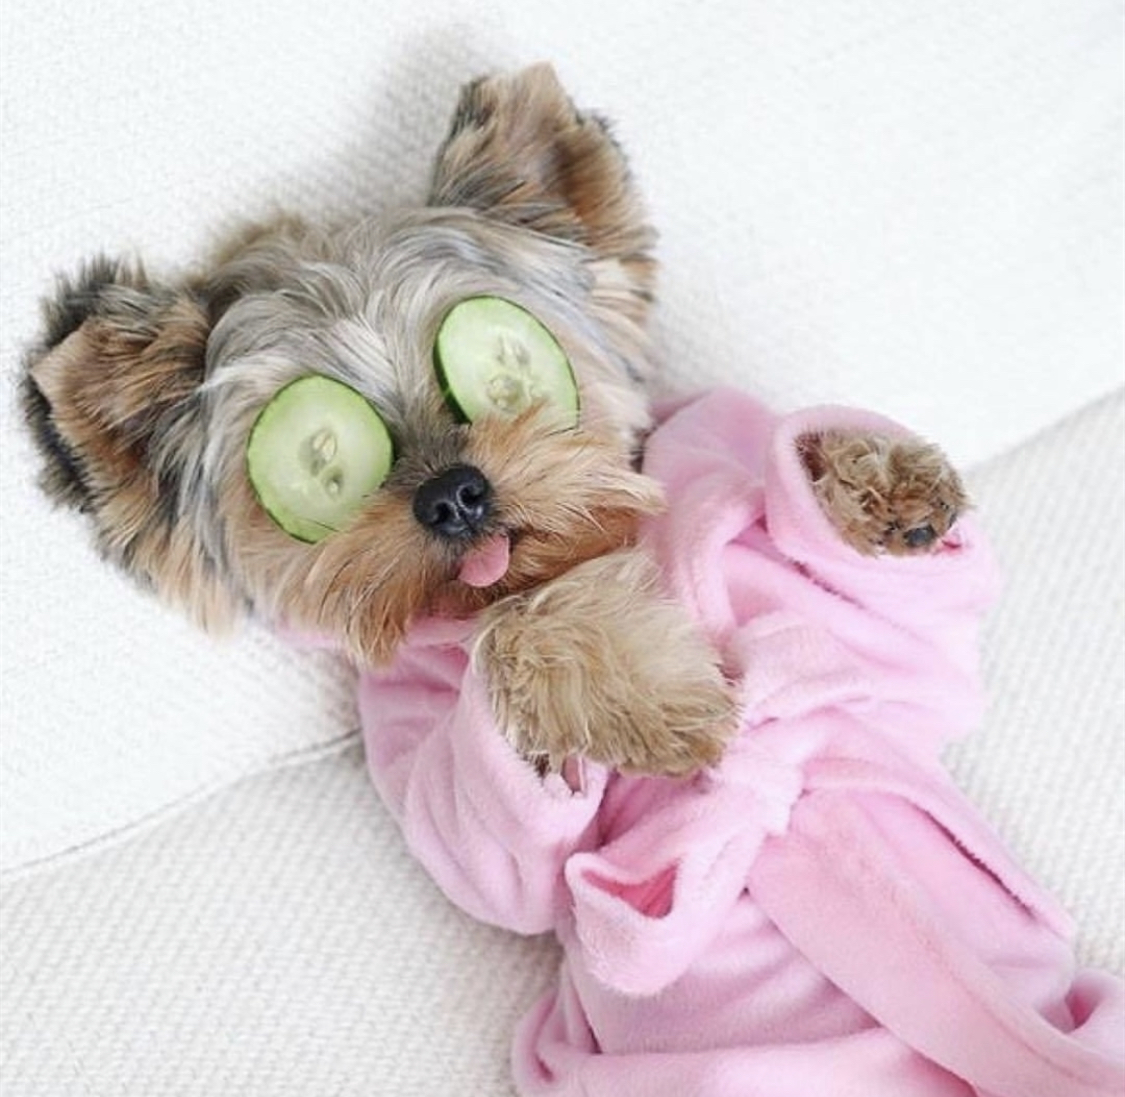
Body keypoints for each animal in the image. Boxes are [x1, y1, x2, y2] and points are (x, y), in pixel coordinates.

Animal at [24, 64, 1116, 1093]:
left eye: (497, 372)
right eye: (327, 460)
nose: (453, 495)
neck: (589, 556)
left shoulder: (879, 663)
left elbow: (913, 628)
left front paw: (875, 484)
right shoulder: (413, 744)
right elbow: (494, 796)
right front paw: (647, 698)